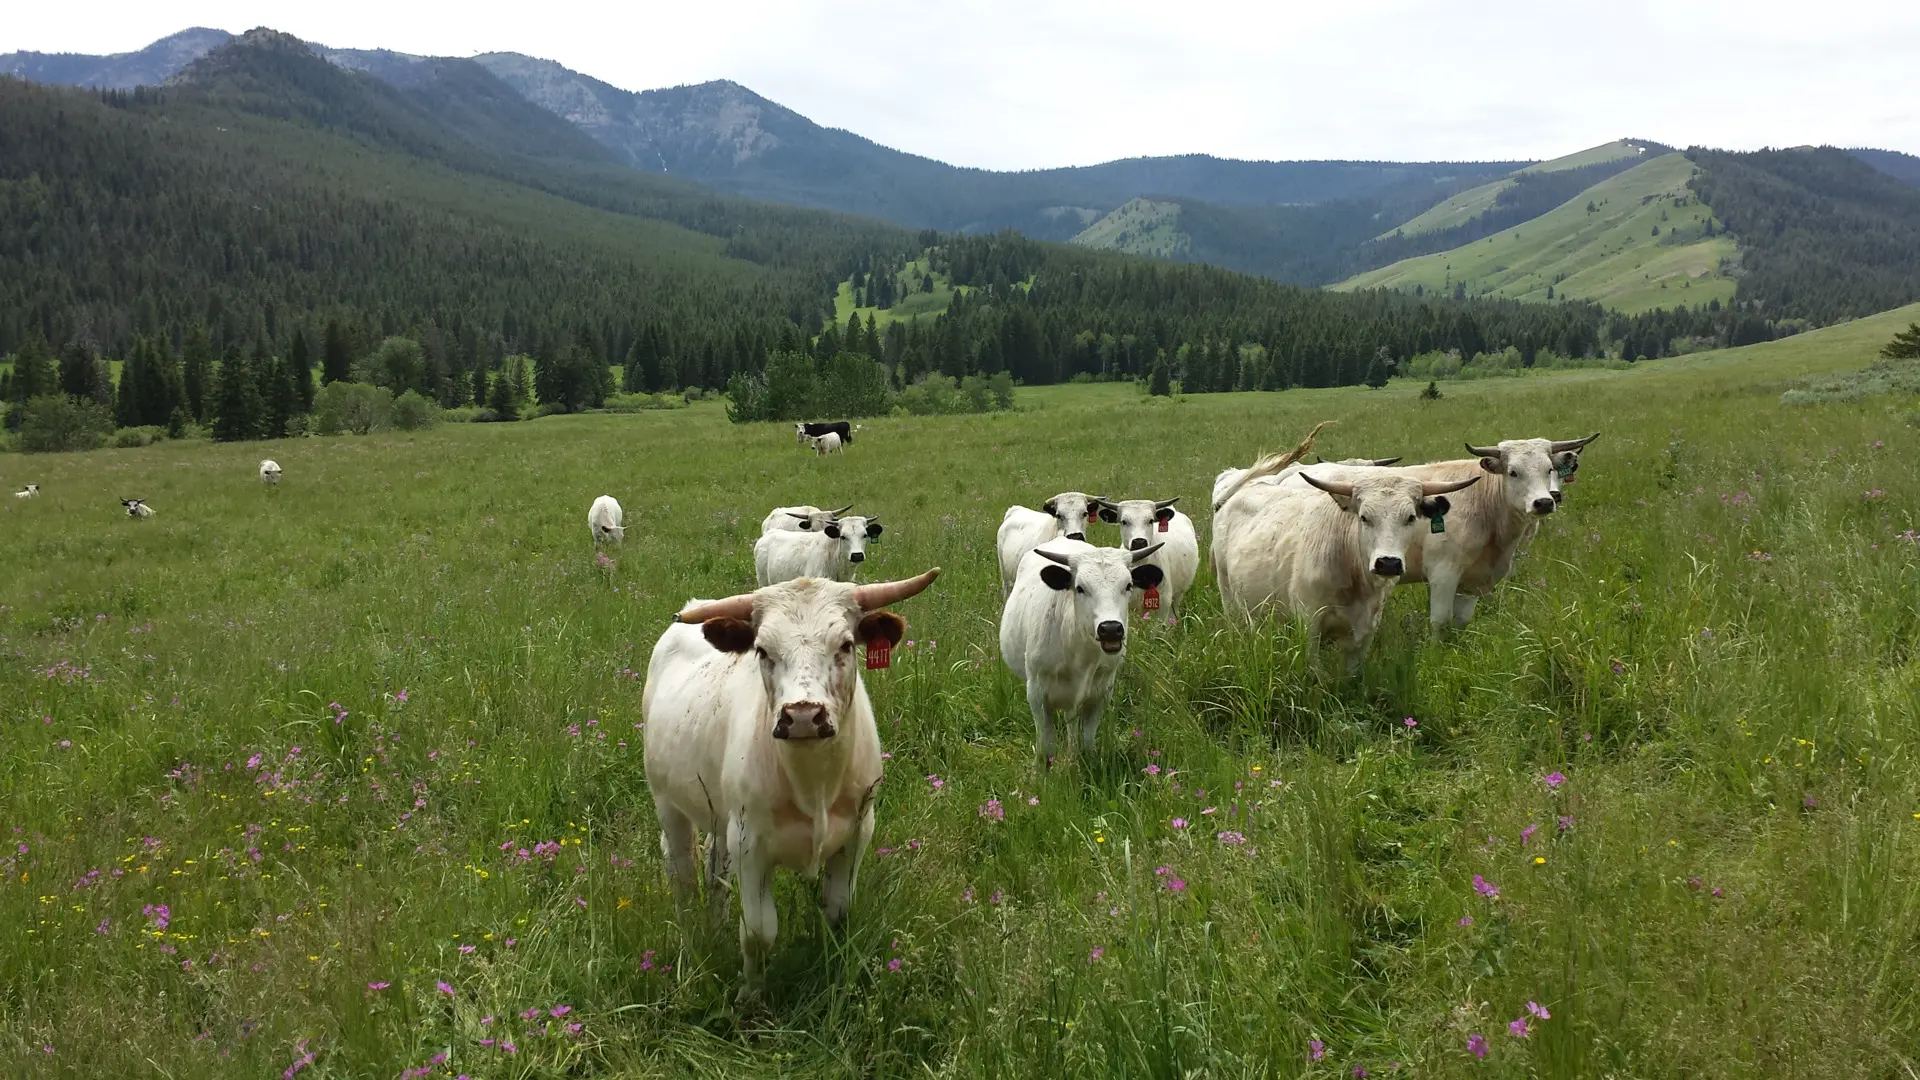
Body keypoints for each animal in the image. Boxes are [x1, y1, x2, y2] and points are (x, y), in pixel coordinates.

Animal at [641, 568, 940, 999]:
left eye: (845, 645)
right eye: (762, 651)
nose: (802, 716)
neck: (813, 783)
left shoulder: (857, 832)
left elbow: (838, 912)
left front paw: (833, 973)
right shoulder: (749, 843)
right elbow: (758, 933)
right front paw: (751, 995)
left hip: (719, 815)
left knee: (715, 866)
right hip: (668, 803)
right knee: (680, 869)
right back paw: (692, 936)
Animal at [1006, 534, 1167, 757]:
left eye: (1128, 585)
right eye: (1080, 588)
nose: (1110, 629)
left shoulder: (1101, 693)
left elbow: (1087, 740)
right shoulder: (1036, 693)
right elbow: (1044, 746)